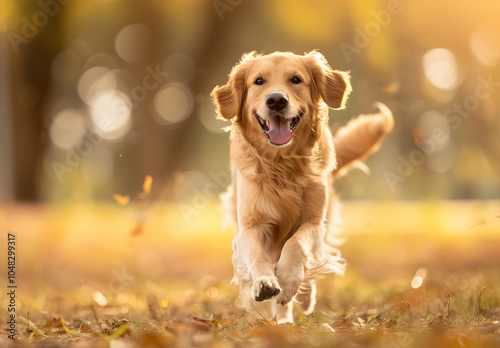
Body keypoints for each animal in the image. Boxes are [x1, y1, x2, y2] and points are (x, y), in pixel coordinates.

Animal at [211, 50, 394, 322]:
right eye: (258, 81)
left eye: (296, 79)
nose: (276, 100)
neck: (282, 165)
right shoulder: (251, 226)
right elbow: (257, 255)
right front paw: (265, 282)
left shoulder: (314, 222)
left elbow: (297, 245)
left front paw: (288, 282)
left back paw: (301, 301)